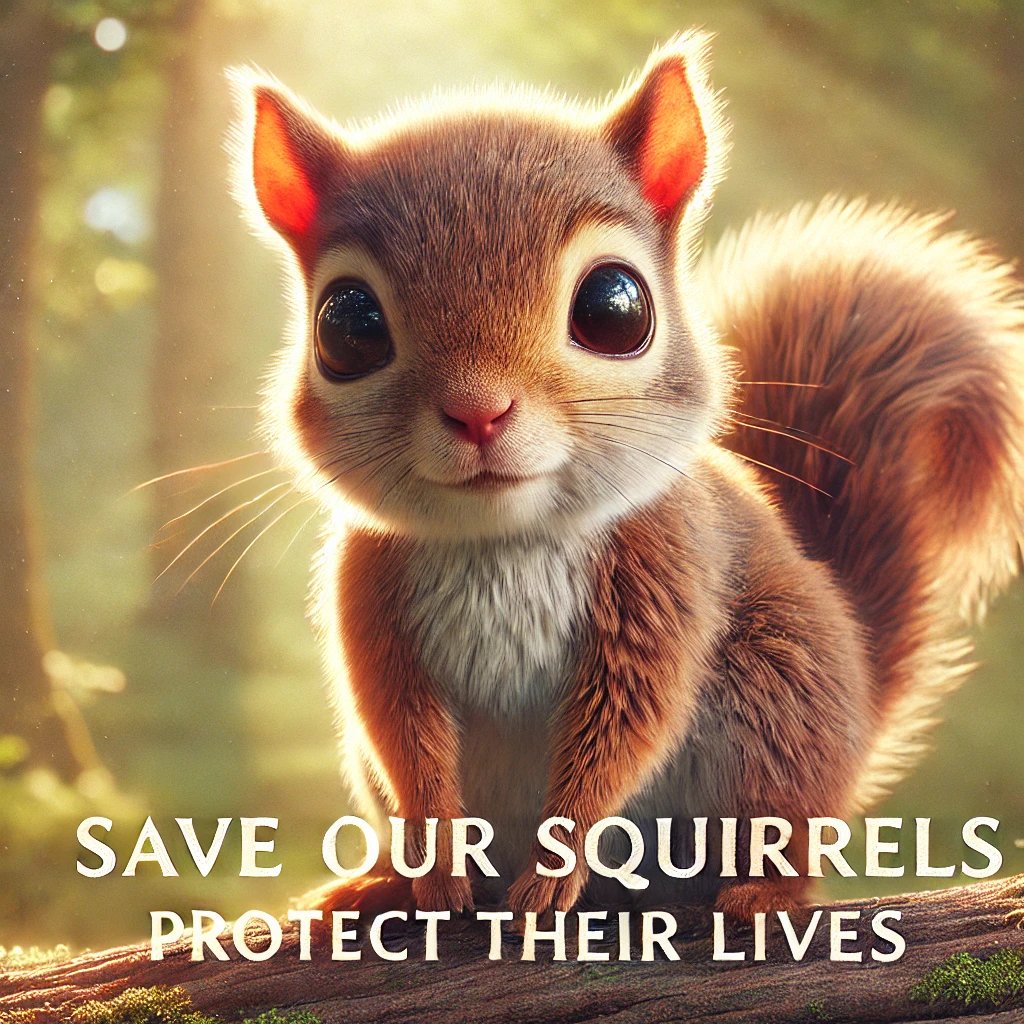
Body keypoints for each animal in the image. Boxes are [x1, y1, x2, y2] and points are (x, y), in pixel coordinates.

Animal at [228, 33, 1024, 923]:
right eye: (347, 324)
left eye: (615, 306)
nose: (478, 413)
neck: (503, 538)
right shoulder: (371, 596)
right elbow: (402, 732)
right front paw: (433, 867)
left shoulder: (661, 580)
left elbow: (619, 734)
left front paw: (552, 871)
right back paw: (380, 882)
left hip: (776, 702)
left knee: (784, 829)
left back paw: (762, 890)